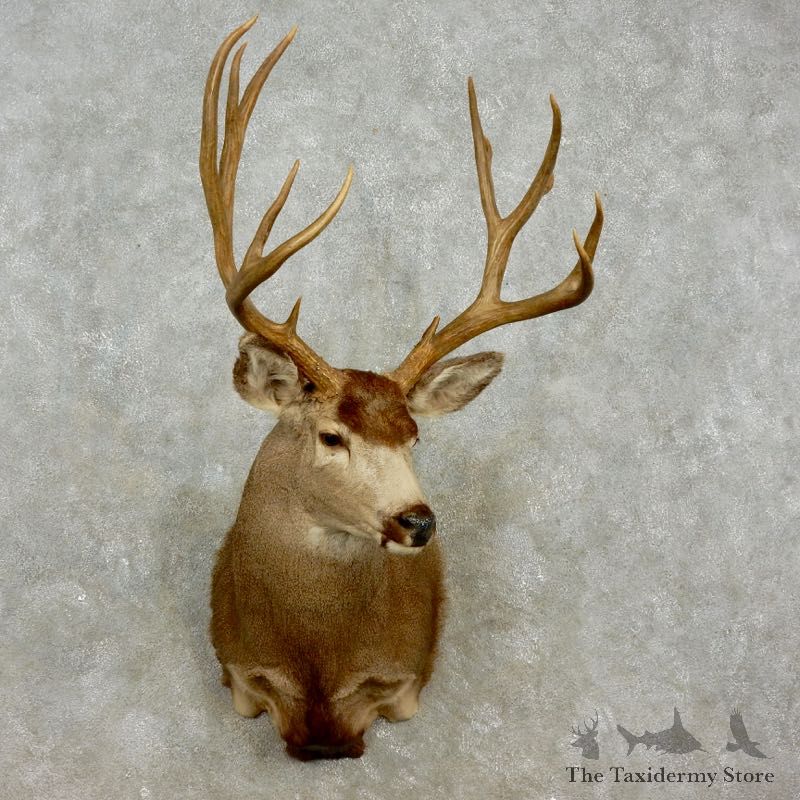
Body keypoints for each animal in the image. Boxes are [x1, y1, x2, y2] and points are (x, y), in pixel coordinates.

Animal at [200, 15, 603, 761]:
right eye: (331, 435)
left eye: (416, 436)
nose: (418, 522)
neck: (317, 659)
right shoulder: (239, 669)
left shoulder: (404, 676)